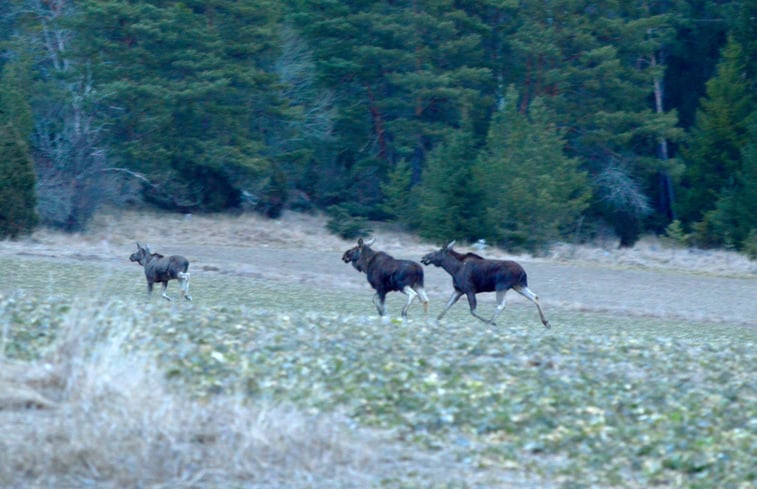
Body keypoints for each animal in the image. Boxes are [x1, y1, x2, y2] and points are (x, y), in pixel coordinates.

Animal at [420, 240, 548, 328]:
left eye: (437, 252)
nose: (423, 257)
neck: (453, 269)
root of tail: (523, 272)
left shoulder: (469, 289)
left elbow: (473, 311)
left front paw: (489, 322)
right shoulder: (458, 290)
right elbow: (446, 307)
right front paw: (434, 322)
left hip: (501, 286)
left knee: (501, 305)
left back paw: (491, 322)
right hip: (519, 285)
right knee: (535, 297)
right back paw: (546, 322)